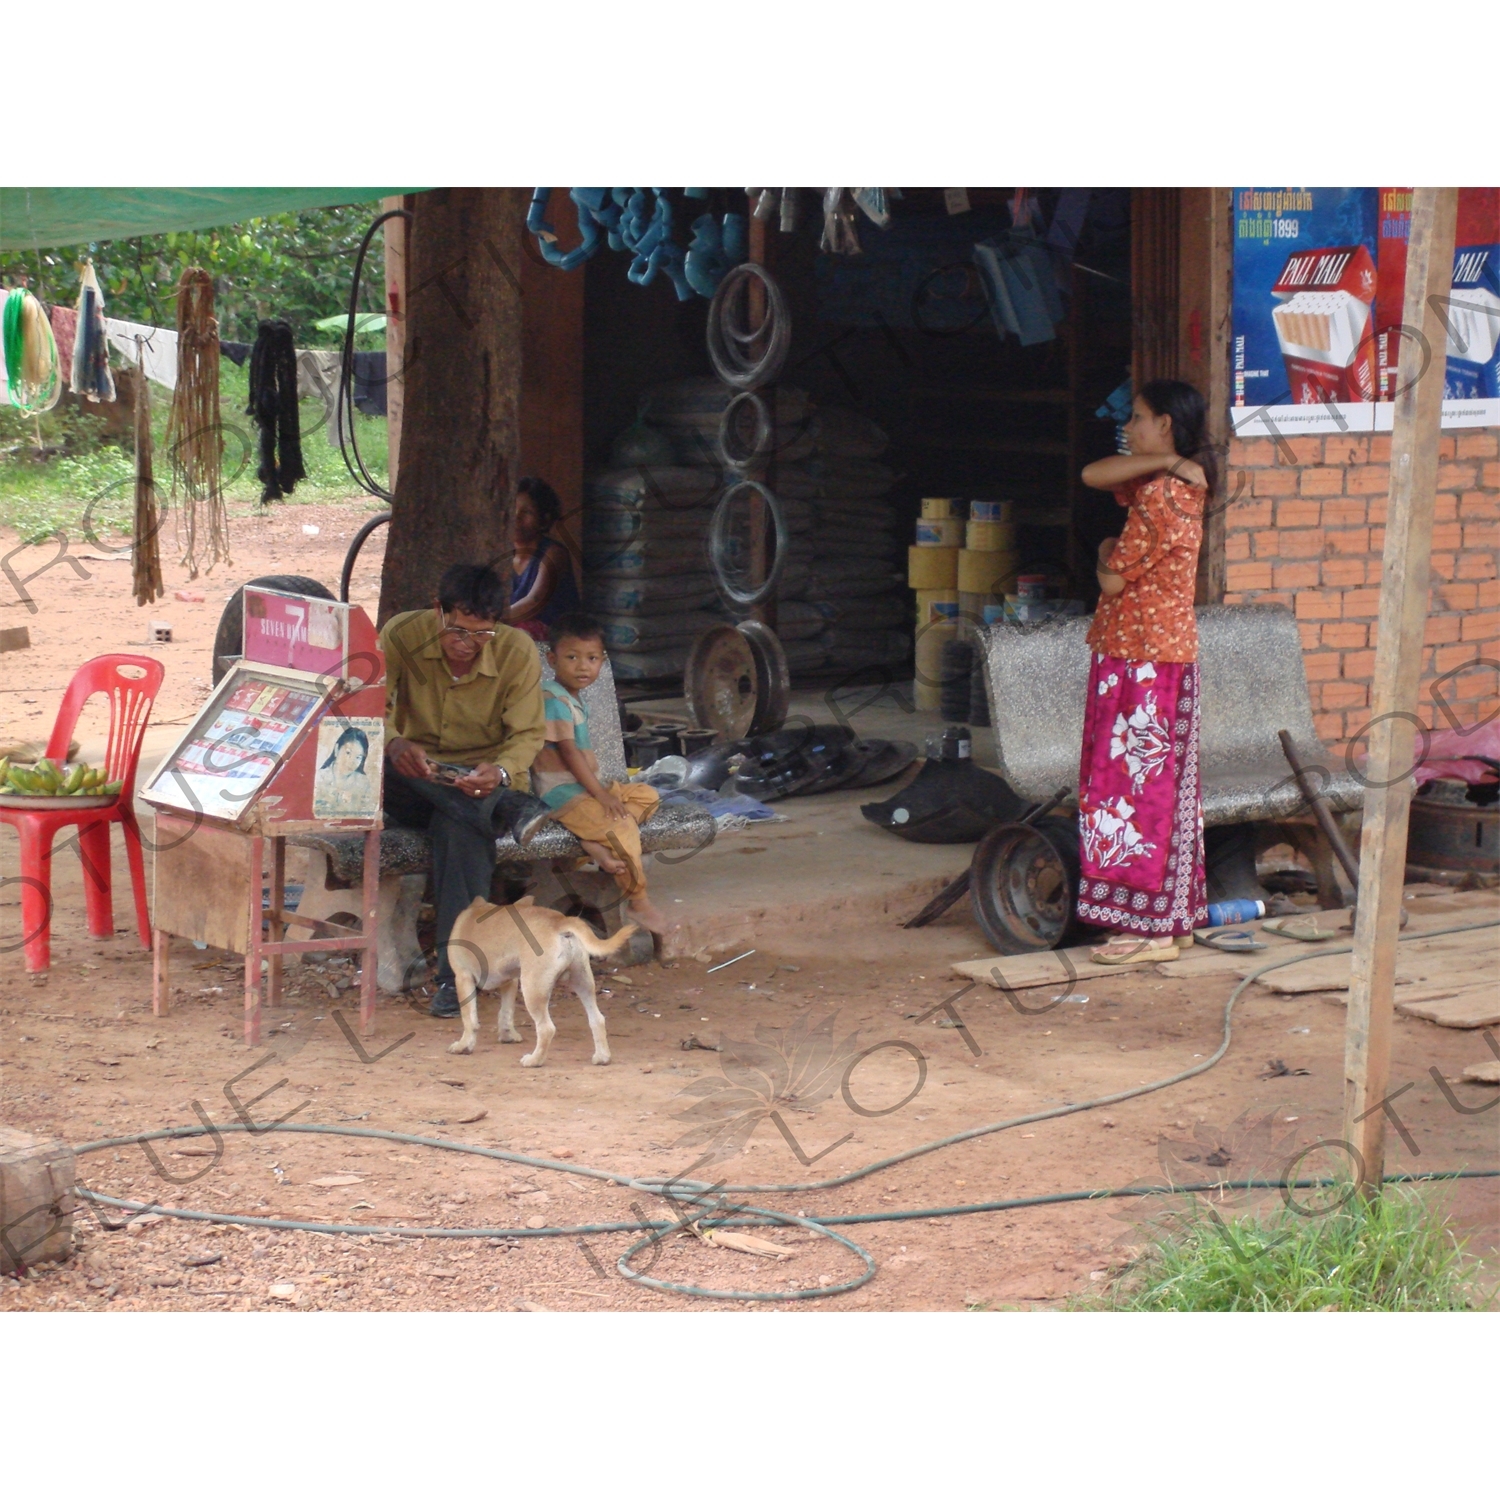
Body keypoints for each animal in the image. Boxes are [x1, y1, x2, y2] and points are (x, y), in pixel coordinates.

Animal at [444, 894, 633, 1062]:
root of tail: (560, 921)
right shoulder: (510, 982)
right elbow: (505, 1013)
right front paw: (507, 1035)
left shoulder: (463, 978)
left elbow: (469, 1018)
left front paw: (463, 1046)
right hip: (583, 982)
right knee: (597, 1019)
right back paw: (602, 1057)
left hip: (532, 990)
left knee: (546, 1028)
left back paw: (535, 1060)